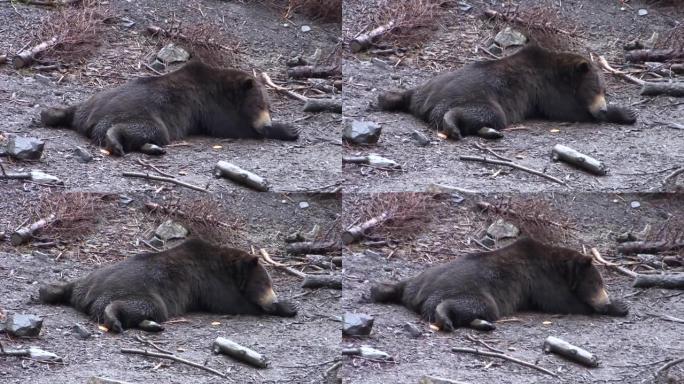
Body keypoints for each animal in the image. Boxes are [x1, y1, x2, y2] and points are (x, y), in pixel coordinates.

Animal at [39, 238, 296, 332]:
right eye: (264, 282)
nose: (272, 299)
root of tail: (89, 296)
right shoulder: (208, 282)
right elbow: (232, 303)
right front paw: (287, 307)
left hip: (90, 276)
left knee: (70, 284)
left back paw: (46, 290)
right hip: (143, 291)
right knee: (145, 306)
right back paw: (115, 319)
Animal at [41, 60, 298, 156]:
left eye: (269, 106)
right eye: (258, 104)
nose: (266, 123)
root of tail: (90, 119)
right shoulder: (208, 106)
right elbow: (232, 127)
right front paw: (288, 130)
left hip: (91, 100)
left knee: (71, 109)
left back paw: (49, 114)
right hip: (143, 113)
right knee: (148, 129)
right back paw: (117, 141)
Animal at [372, 236, 628, 332]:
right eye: (596, 282)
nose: (604, 300)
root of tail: (420, 296)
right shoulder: (540, 280)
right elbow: (563, 302)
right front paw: (618, 306)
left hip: (422, 276)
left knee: (402, 284)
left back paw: (378, 290)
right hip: (474, 290)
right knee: (478, 305)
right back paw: (447, 318)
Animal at [376, 44, 640, 140]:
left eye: (604, 89)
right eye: (595, 88)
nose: (602, 108)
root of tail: (427, 102)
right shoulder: (545, 90)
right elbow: (568, 110)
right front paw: (625, 113)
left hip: (429, 83)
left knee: (408, 92)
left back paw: (385, 97)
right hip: (480, 97)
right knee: (488, 113)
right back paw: (454, 125)